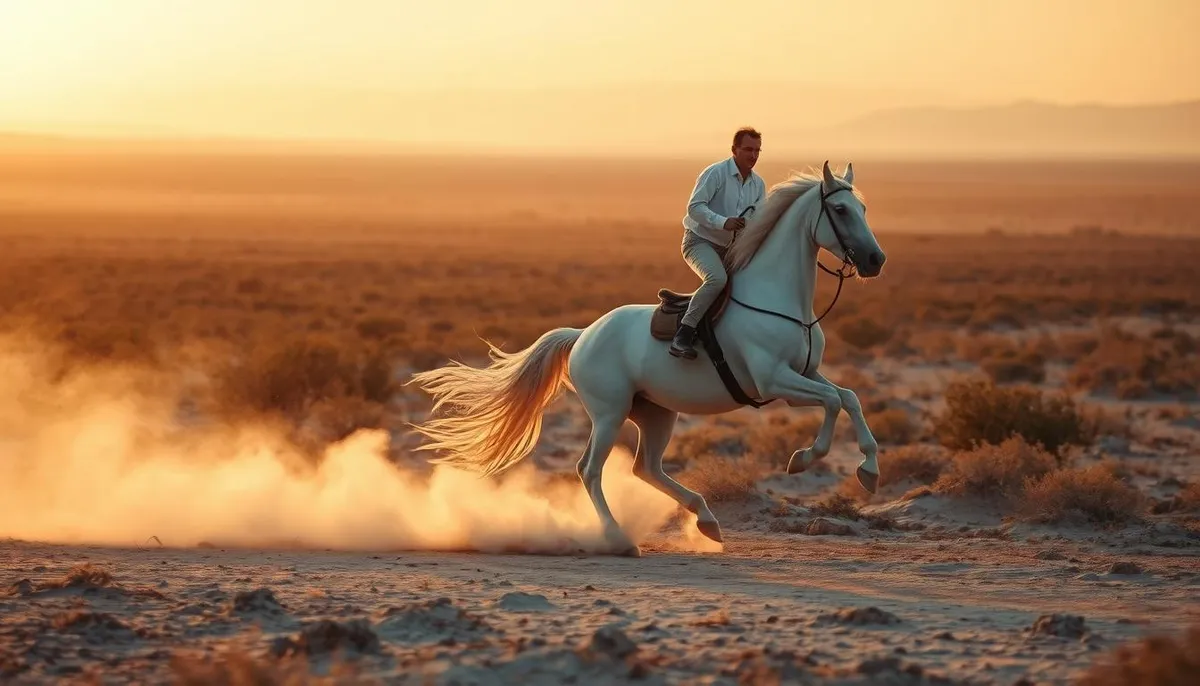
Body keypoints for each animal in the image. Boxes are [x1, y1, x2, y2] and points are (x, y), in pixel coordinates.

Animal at [407, 161, 887, 556]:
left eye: (864, 207)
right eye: (841, 210)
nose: (875, 260)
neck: (780, 301)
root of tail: (582, 336)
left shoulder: (807, 373)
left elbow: (847, 397)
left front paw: (868, 470)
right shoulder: (775, 382)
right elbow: (834, 402)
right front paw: (804, 458)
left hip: (656, 414)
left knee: (646, 469)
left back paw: (707, 521)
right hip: (610, 413)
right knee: (590, 470)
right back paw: (619, 539)